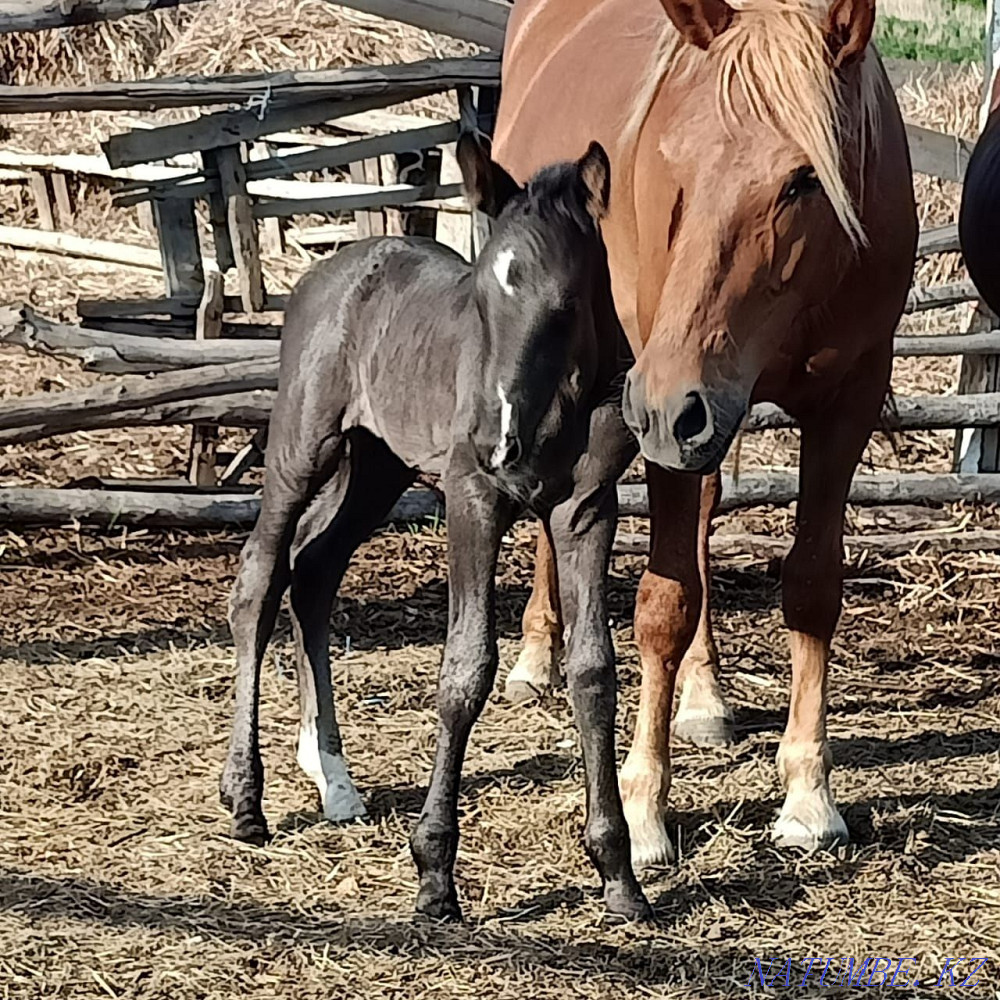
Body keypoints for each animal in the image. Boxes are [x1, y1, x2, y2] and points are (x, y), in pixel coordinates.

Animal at [219, 134, 653, 922]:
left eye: (566, 305)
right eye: (480, 299)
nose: (493, 440)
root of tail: (327, 271)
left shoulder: (587, 510)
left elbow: (594, 671)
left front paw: (618, 873)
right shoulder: (470, 497)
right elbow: (465, 668)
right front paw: (433, 874)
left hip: (377, 465)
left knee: (315, 570)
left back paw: (336, 783)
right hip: (303, 444)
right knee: (261, 578)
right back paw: (246, 800)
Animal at [492, 0, 917, 867]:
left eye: (802, 179)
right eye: (671, 162)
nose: (663, 405)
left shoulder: (844, 403)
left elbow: (812, 586)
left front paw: (808, 796)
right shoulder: (663, 406)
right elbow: (664, 602)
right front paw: (642, 807)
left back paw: (704, 694)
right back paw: (536, 655)